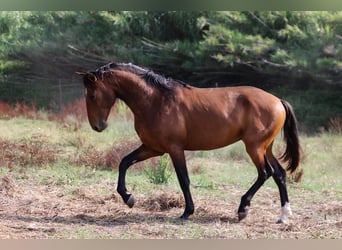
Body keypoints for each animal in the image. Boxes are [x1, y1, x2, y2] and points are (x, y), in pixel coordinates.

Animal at [76, 62, 300, 223]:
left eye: (93, 95)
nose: (97, 126)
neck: (156, 101)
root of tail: (278, 101)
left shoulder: (175, 149)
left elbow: (183, 179)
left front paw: (187, 212)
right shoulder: (153, 148)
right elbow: (124, 163)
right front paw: (128, 198)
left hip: (254, 147)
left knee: (265, 173)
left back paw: (243, 209)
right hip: (266, 147)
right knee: (279, 174)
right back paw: (283, 216)